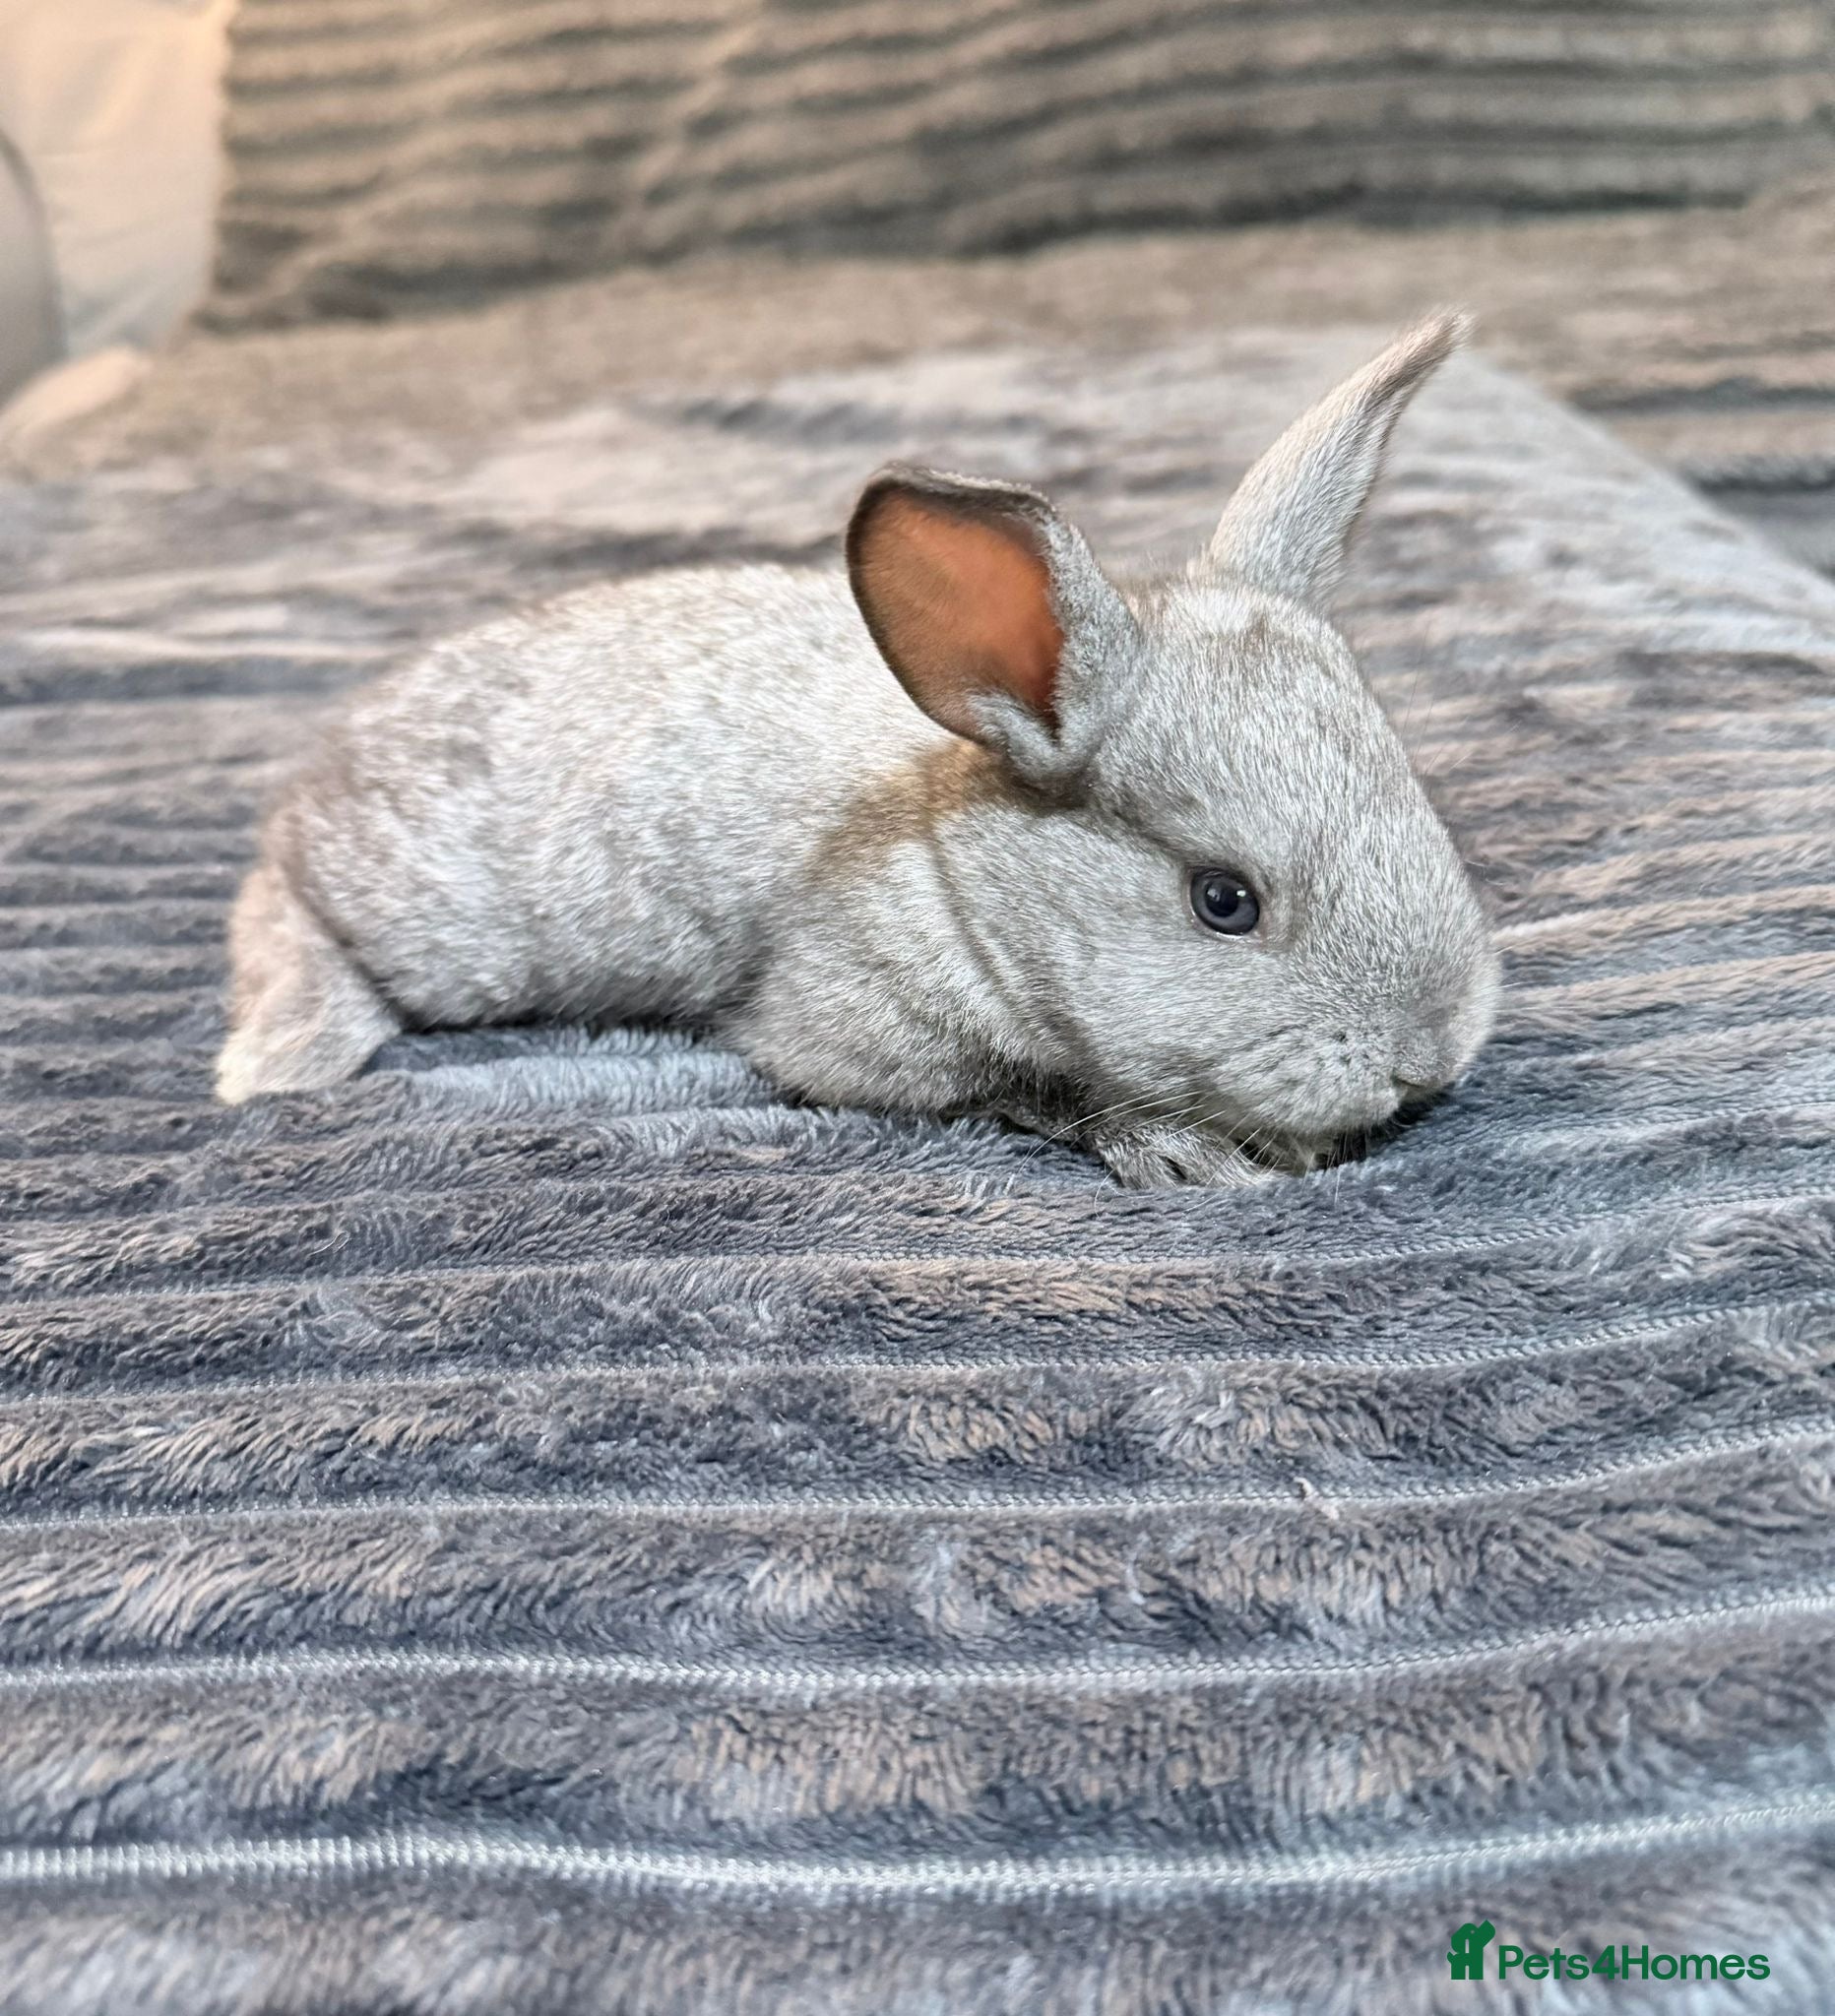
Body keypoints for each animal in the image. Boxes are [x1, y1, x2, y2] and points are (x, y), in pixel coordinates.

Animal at [216, 311, 1499, 1187]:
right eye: (1223, 900)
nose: (1427, 1057)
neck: (958, 861)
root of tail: (321, 770)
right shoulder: (845, 1027)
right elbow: (1033, 1088)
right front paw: (1194, 1152)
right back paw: (277, 1055)